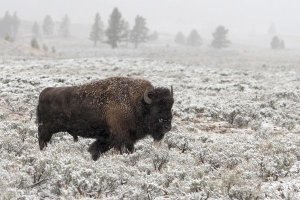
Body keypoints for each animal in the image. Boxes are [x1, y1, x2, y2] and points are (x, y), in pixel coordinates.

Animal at [36, 77, 175, 160]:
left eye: (170, 107)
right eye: (157, 109)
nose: (167, 127)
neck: (136, 103)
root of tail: (44, 93)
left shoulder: (109, 138)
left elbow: (96, 149)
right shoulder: (121, 139)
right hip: (46, 130)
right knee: (42, 141)